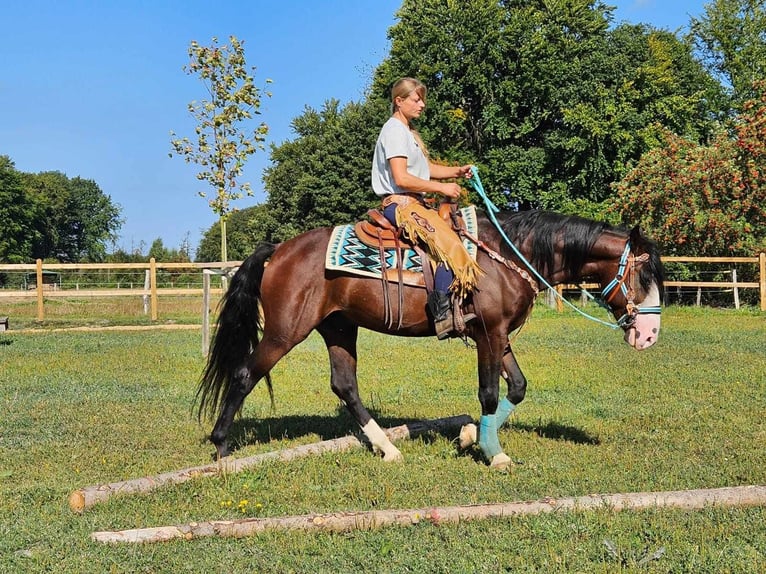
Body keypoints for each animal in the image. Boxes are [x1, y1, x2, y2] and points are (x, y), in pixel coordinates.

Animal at [198, 209, 664, 470]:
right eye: (643, 275)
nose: (649, 335)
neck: (507, 256)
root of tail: (278, 250)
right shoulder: (489, 333)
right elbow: (489, 393)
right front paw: (492, 452)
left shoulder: (498, 334)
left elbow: (517, 387)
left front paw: (471, 436)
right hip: (284, 331)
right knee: (244, 374)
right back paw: (221, 448)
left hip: (338, 327)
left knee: (345, 385)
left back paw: (387, 449)